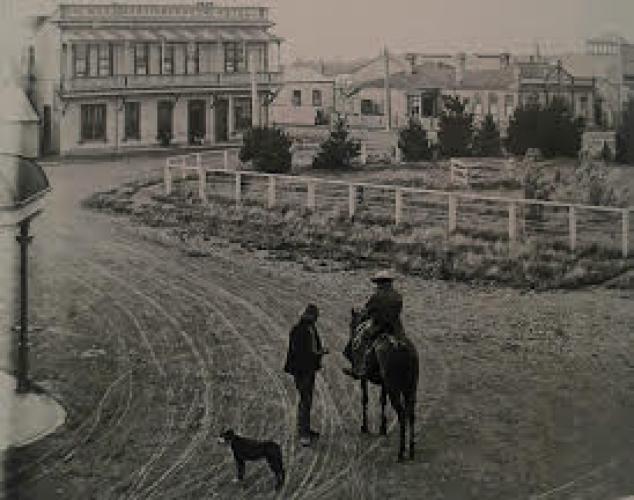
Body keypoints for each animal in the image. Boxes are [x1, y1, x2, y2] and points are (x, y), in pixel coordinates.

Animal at [344, 308, 418, 460]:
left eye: (350, 324)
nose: (347, 350)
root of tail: (402, 348)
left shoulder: (364, 378)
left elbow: (364, 399)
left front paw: (364, 427)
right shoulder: (384, 384)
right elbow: (382, 401)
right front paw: (382, 428)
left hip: (394, 391)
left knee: (402, 414)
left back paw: (401, 452)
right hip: (410, 389)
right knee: (411, 414)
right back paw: (411, 451)